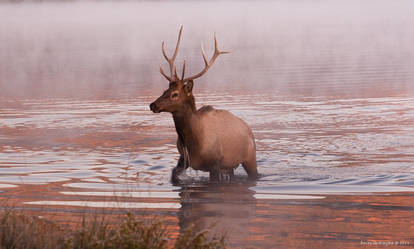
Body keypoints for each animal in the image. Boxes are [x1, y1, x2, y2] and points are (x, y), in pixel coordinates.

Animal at [150, 26, 258, 183]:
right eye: (165, 90)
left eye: (175, 94)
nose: (153, 105)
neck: (192, 143)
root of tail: (248, 129)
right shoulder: (183, 159)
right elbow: (173, 175)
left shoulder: (215, 163)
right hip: (230, 166)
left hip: (250, 157)